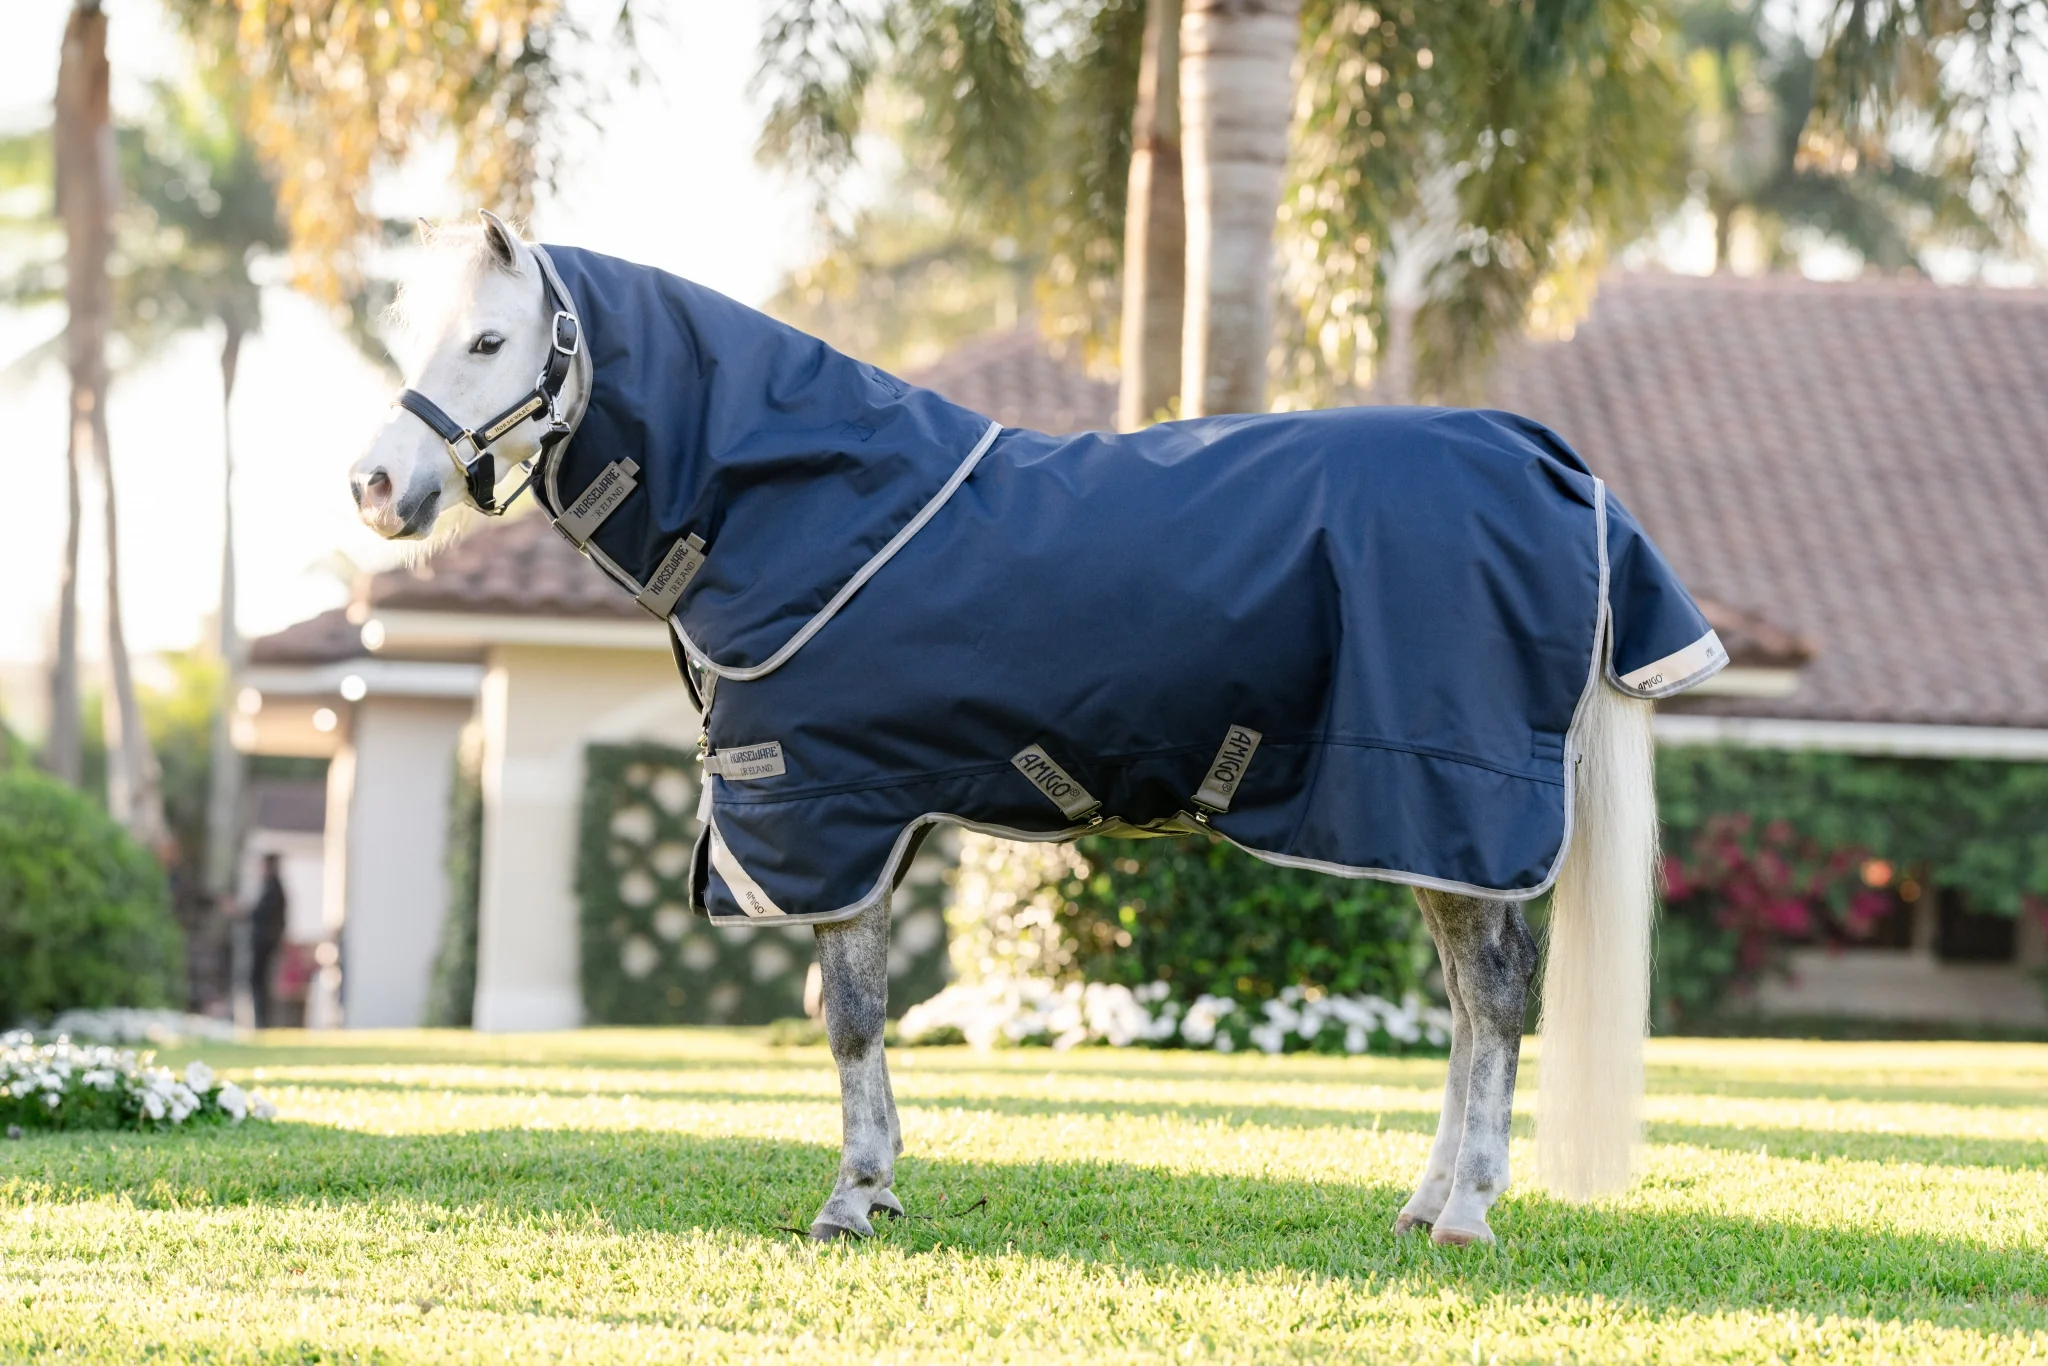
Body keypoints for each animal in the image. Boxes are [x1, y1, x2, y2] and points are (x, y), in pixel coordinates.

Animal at [350, 212, 1724, 1246]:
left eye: (489, 338)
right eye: (418, 333)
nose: (374, 488)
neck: (799, 509)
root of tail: (1556, 467)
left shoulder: (829, 817)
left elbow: (847, 1018)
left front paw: (851, 1197)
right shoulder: (864, 824)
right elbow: (854, 1015)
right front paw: (878, 1185)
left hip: (1448, 803)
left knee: (1492, 999)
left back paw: (1465, 1212)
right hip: (1424, 828)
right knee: (1465, 1002)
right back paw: (1425, 1200)